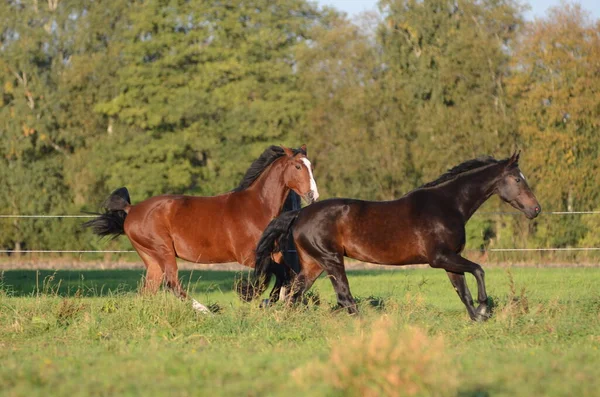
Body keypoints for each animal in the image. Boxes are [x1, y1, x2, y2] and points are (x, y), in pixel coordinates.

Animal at [85, 144, 318, 310]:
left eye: (311, 166)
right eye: (298, 166)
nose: (312, 196)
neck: (257, 207)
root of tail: (131, 209)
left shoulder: (273, 253)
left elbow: (286, 273)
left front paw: (276, 300)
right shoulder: (249, 257)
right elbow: (276, 273)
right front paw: (259, 298)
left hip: (151, 258)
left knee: (149, 288)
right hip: (163, 250)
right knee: (172, 283)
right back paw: (205, 310)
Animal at [248, 150, 540, 320]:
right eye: (517, 179)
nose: (535, 209)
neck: (449, 204)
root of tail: (300, 214)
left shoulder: (450, 260)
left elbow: (462, 290)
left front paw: (477, 316)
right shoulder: (440, 257)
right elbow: (479, 270)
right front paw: (483, 308)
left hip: (314, 264)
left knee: (294, 295)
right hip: (331, 259)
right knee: (342, 297)